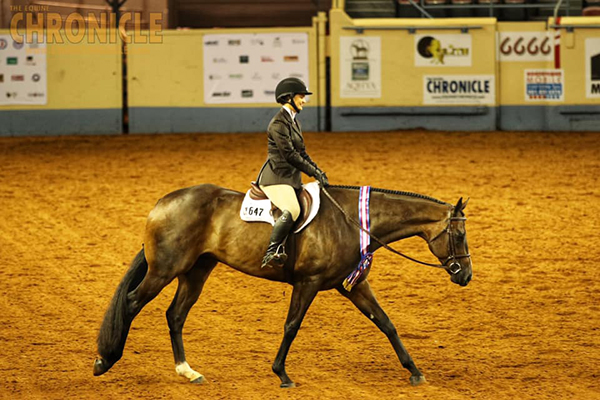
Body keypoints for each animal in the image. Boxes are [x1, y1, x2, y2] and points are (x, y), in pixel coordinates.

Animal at [94, 184, 472, 388]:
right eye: (459, 235)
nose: (465, 276)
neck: (353, 221)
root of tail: (162, 204)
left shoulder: (352, 285)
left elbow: (387, 324)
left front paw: (415, 372)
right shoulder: (309, 282)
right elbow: (291, 326)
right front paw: (282, 374)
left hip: (196, 271)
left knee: (175, 315)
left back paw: (188, 372)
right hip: (165, 269)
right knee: (132, 302)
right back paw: (105, 361)